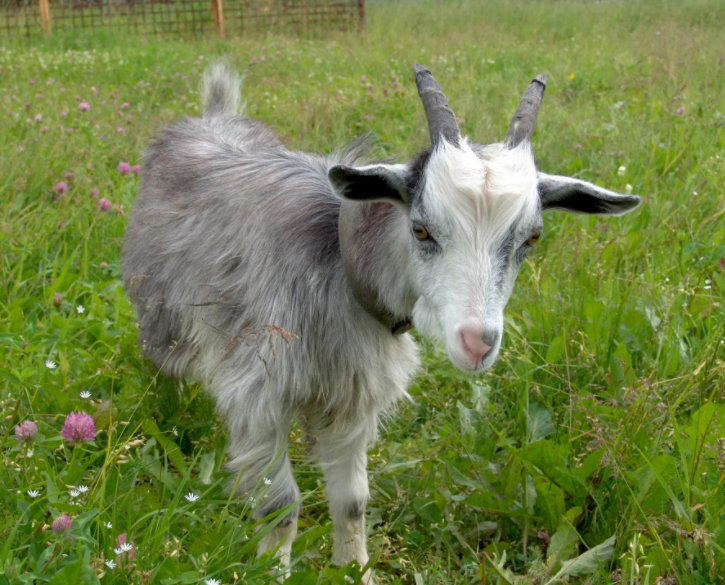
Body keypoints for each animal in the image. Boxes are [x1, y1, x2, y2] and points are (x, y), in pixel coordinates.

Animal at [123, 61, 640, 580]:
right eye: (421, 229)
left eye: (531, 238)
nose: (477, 342)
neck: (338, 262)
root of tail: (211, 115)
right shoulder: (258, 391)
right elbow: (280, 506)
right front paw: (273, 573)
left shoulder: (354, 398)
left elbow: (352, 502)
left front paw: (356, 571)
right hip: (161, 313)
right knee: (163, 365)